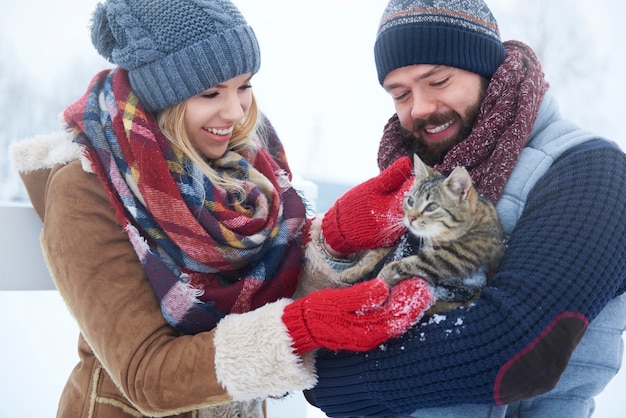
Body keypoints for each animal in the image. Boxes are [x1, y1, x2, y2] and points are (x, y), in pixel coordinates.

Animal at [338, 153, 504, 314]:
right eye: (410, 201)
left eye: (432, 207)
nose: (410, 218)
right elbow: (376, 253)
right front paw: (353, 271)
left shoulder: (447, 259)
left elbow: (399, 265)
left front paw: (378, 283)